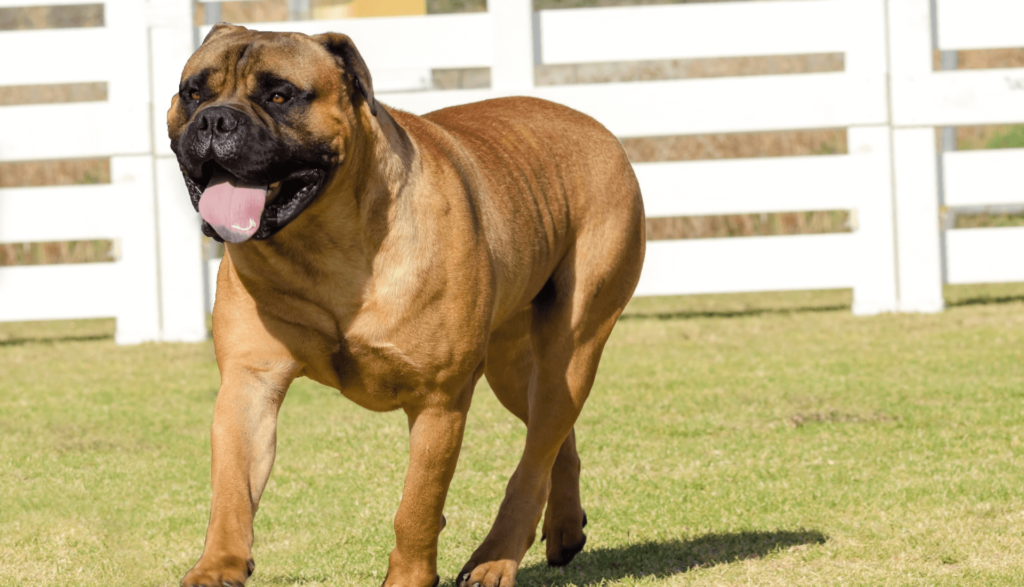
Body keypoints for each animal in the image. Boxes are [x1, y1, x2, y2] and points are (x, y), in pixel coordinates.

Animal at [168, 24, 643, 585]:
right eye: (193, 92)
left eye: (280, 96)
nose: (214, 120)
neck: (322, 243)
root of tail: (595, 126)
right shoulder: (249, 382)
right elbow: (232, 491)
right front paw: (216, 566)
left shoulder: (439, 399)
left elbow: (417, 505)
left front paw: (411, 574)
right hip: (512, 364)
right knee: (552, 440)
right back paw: (565, 528)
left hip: (573, 346)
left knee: (537, 451)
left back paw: (494, 559)